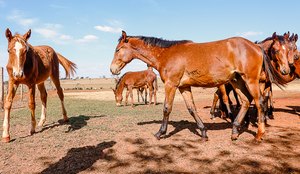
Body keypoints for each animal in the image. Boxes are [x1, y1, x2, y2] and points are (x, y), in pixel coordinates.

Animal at [110, 30, 292, 141]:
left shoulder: (171, 85)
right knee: (246, 101)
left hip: (250, 80)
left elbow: (166, 108)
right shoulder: (183, 87)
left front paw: (160, 133)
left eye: (118, 49)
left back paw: (259, 134)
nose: (112, 69)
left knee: (259, 102)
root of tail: (256, 46)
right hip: (237, 81)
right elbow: (192, 108)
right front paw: (203, 132)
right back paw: (234, 131)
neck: (166, 54)